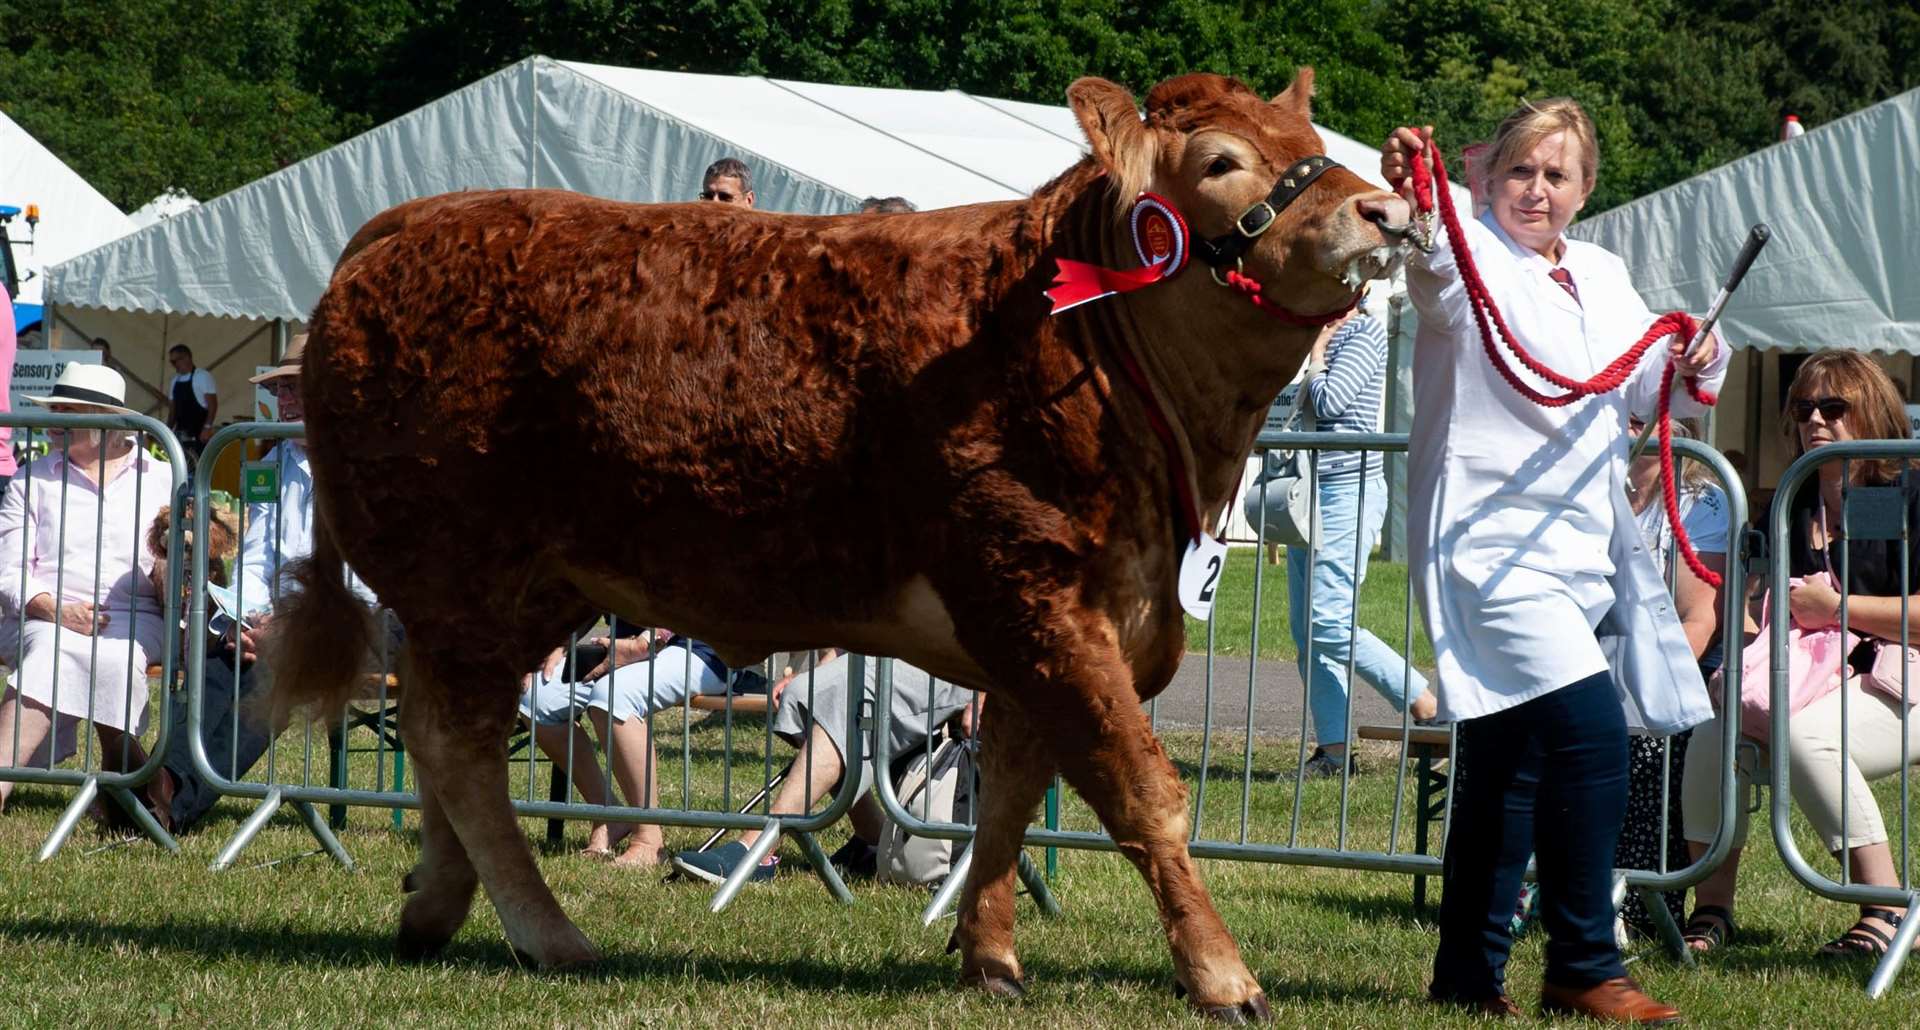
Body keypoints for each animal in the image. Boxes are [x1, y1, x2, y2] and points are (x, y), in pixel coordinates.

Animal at [274, 68, 1413, 1014]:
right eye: (1220, 162)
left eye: (1311, 138)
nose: (1389, 207)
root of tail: (410, 221)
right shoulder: (1038, 593)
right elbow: (1142, 794)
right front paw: (1222, 974)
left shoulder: (1051, 625)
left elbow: (1007, 797)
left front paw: (989, 956)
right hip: (464, 570)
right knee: (458, 741)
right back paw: (547, 932)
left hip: (521, 590)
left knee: (443, 733)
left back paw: (437, 904)